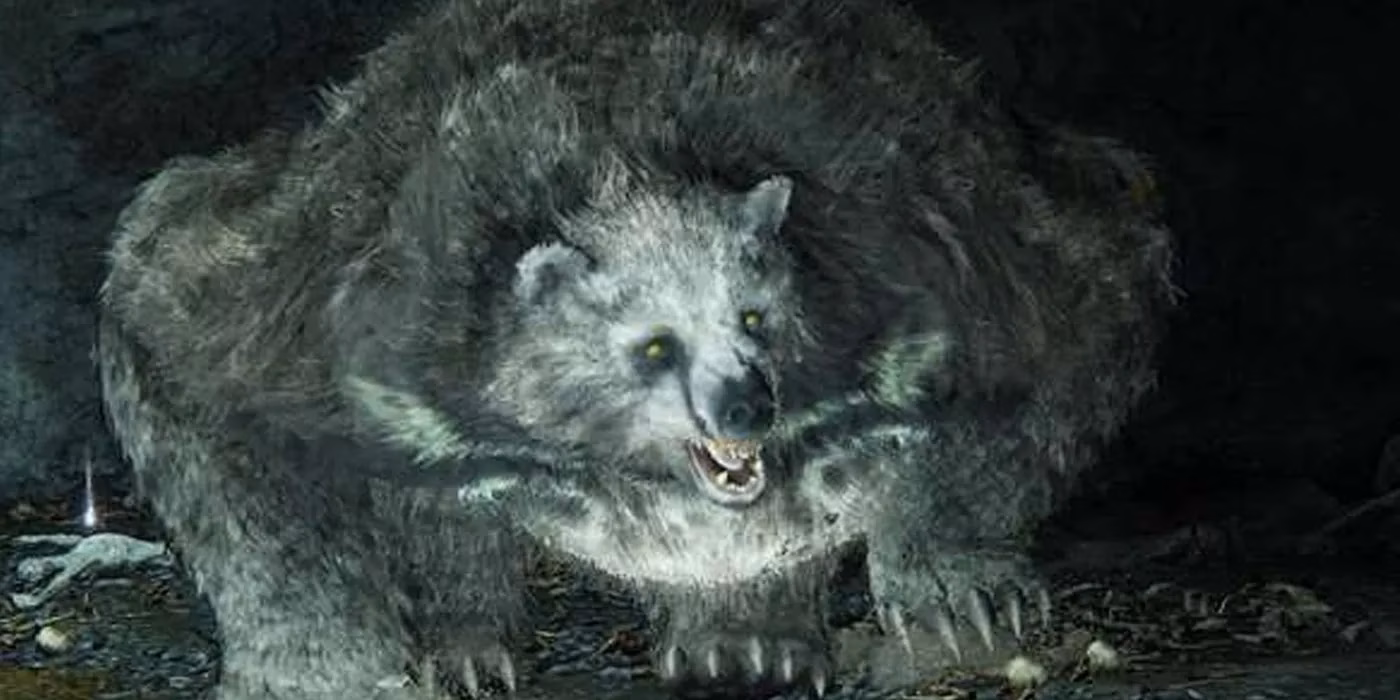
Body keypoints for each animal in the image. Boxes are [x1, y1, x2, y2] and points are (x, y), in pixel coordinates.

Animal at [96, 0, 1175, 697]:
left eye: (755, 314)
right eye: (652, 346)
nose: (745, 405)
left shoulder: (935, 232)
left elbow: (1063, 343)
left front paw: (959, 595)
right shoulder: (339, 287)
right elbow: (190, 358)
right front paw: (332, 660)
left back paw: (745, 638)